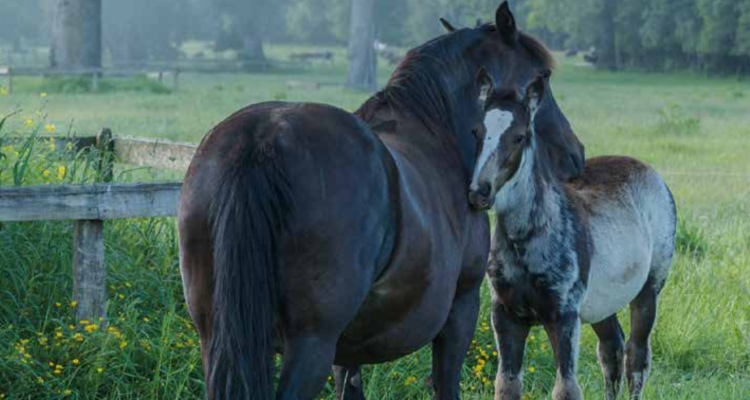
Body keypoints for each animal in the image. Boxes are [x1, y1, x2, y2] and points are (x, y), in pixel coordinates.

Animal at [179, 3, 584, 400]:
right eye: (542, 78)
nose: (575, 155)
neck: (439, 132)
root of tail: (263, 137)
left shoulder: (348, 347)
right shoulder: (462, 308)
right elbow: (447, 384)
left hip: (217, 338)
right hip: (310, 345)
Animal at [470, 76, 676, 400]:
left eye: (519, 137)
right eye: (477, 132)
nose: (479, 192)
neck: (526, 240)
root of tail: (652, 173)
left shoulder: (564, 317)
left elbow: (566, 387)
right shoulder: (505, 315)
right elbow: (506, 385)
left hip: (649, 290)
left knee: (636, 357)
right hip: (603, 302)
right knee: (611, 350)